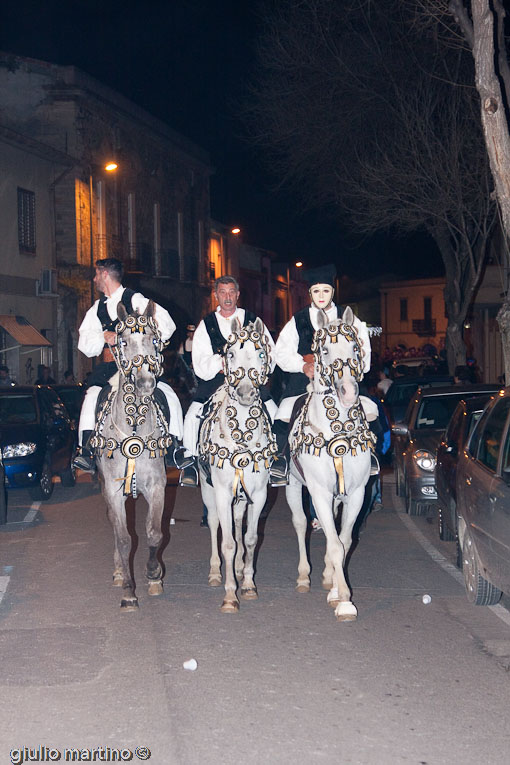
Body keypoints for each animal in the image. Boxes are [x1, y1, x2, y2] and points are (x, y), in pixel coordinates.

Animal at [89, 302, 171, 612]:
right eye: (123, 341)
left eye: (154, 339)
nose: (146, 382)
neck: (134, 423)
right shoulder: (113, 492)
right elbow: (124, 539)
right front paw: (128, 592)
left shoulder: (157, 486)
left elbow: (154, 532)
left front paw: (154, 575)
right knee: (116, 530)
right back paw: (118, 571)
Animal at [199, 320, 278, 612]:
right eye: (230, 353)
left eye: (261, 353)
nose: (245, 393)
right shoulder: (222, 492)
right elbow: (228, 544)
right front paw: (230, 595)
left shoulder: (259, 494)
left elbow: (250, 538)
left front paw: (248, 584)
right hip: (209, 492)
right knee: (214, 524)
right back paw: (214, 572)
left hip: (241, 497)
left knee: (236, 521)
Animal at [286, 304, 374, 620]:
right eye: (323, 350)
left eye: (356, 347)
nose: (348, 392)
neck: (338, 430)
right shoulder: (319, 493)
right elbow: (335, 545)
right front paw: (345, 599)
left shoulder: (356, 493)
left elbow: (344, 542)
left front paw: (337, 591)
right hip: (293, 486)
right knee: (301, 523)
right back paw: (304, 577)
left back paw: (326, 576)